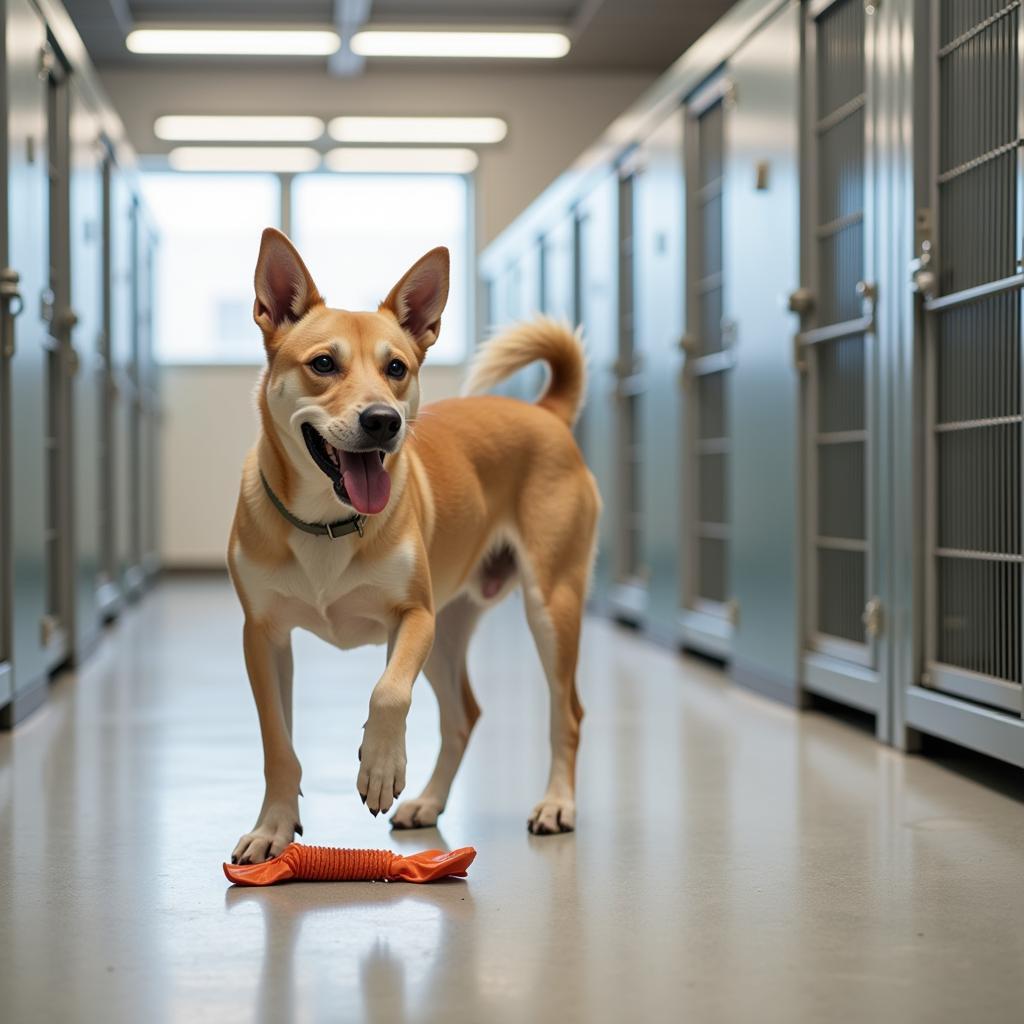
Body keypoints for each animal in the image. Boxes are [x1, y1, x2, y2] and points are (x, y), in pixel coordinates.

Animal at [228, 230, 598, 864]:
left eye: (396, 367)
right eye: (323, 364)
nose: (383, 420)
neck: (328, 521)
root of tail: (544, 413)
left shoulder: (413, 617)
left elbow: (388, 693)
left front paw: (380, 765)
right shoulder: (263, 636)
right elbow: (278, 742)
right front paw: (273, 825)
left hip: (549, 605)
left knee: (567, 714)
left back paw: (556, 805)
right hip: (450, 628)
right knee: (463, 716)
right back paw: (429, 801)